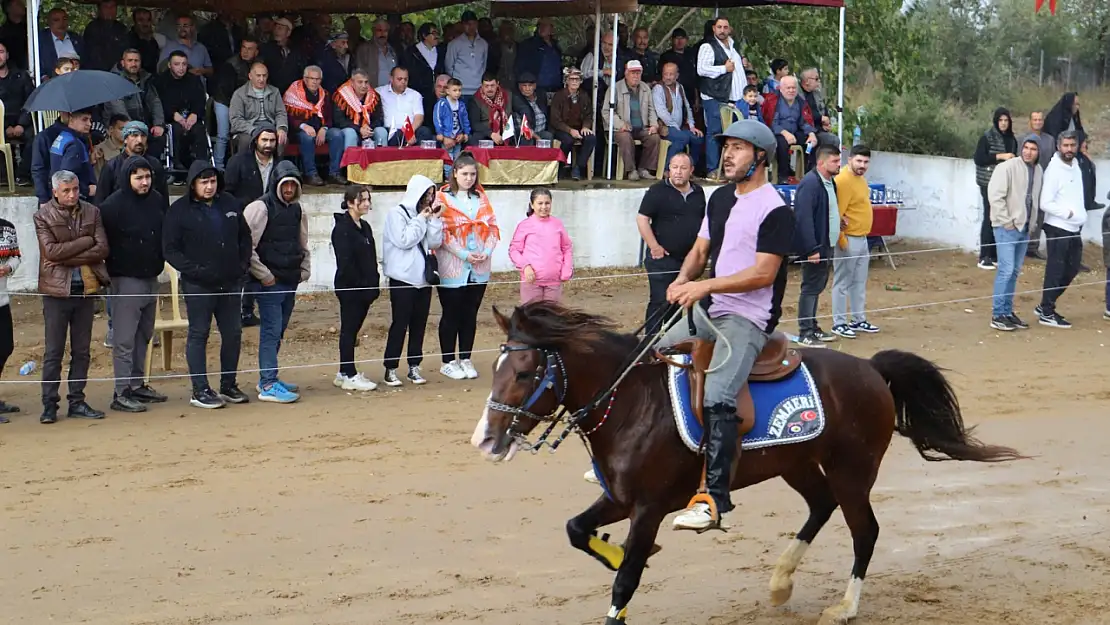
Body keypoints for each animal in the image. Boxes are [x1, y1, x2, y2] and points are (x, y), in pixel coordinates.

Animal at [472, 299, 1025, 621]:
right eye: (496, 368)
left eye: (524, 372)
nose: (486, 440)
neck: (631, 401)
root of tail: (870, 369)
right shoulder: (621, 498)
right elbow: (576, 530)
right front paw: (617, 551)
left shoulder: (648, 507)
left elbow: (625, 579)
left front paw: (629, 565)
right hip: (797, 465)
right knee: (820, 508)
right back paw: (781, 583)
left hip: (853, 471)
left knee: (864, 531)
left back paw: (844, 607)